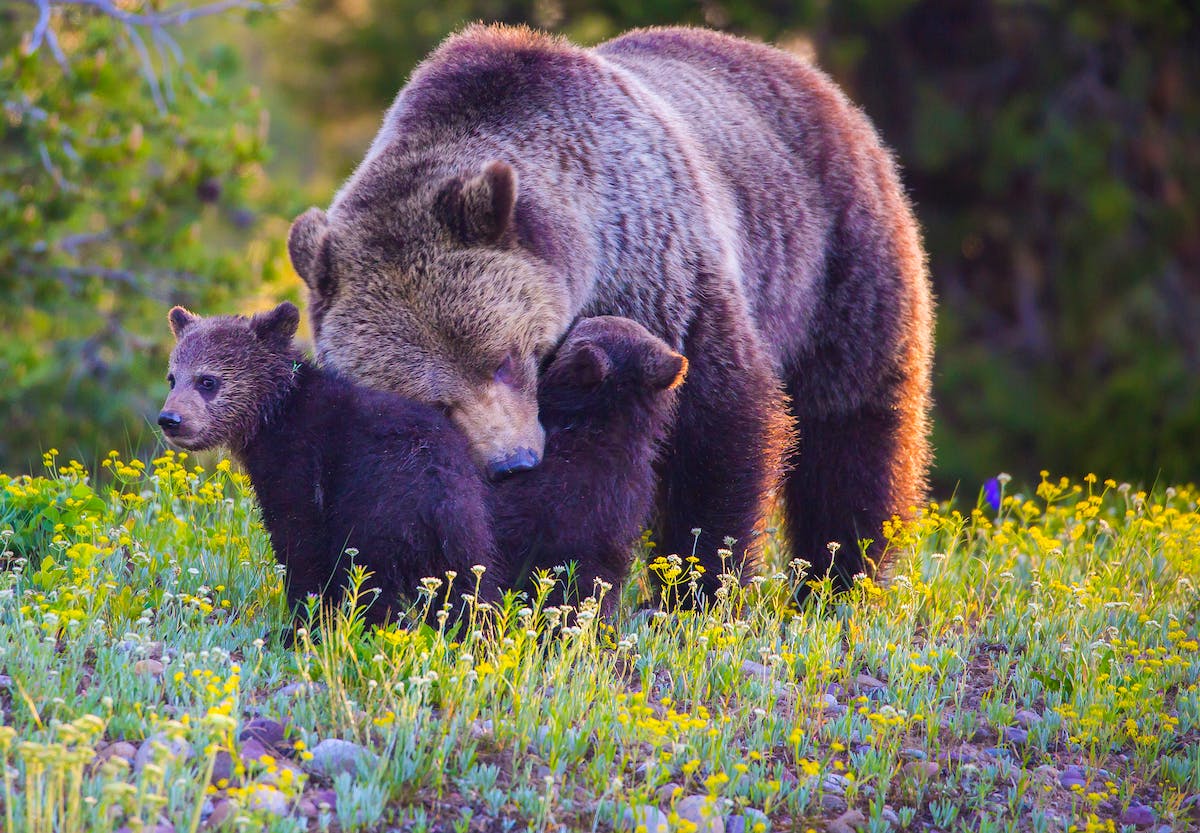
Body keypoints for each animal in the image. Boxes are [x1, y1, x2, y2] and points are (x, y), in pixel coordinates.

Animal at [157, 303, 686, 621]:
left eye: (208, 381)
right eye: (172, 375)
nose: (170, 419)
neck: (274, 415)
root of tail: (446, 506)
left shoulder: (302, 460)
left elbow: (300, 539)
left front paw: (300, 614)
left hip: (386, 508)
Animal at [286, 24, 934, 597]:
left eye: (505, 360)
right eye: (435, 402)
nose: (514, 462)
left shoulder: (664, 272)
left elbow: (719, 425)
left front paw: (696, 586)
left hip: (838, 257)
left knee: (852, 423)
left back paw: (840, 576)